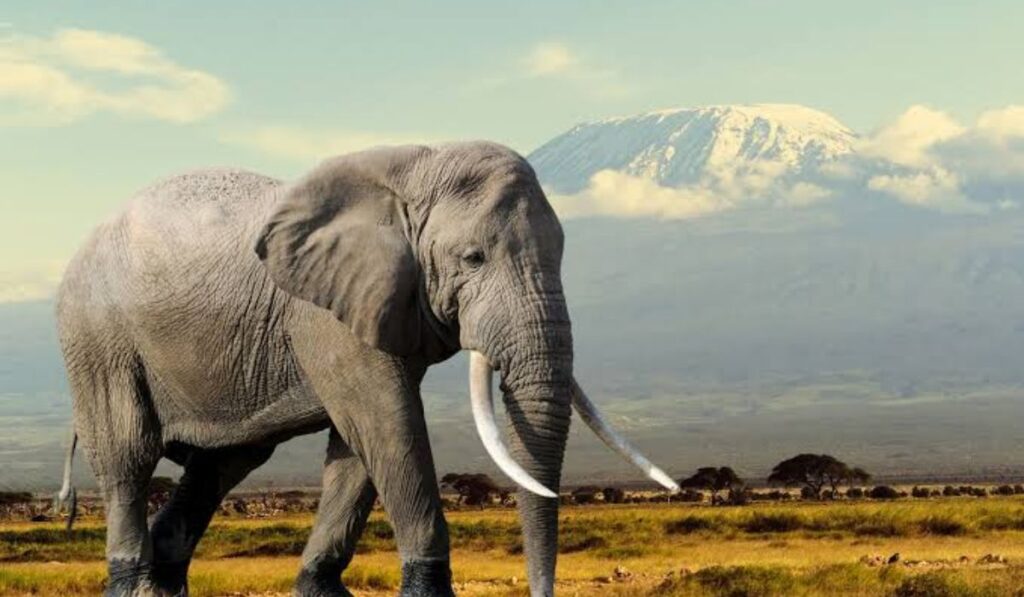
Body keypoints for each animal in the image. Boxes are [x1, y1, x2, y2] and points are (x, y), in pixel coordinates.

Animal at [53, 141, 678, 597]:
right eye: (473, 258)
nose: (541, 592)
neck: (414, 169)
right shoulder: (327, 312)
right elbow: (387, 422)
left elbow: (357, 447)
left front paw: (320, 589)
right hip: (97, 337)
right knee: (130, 454)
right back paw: (134, 584)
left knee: (223, 464)